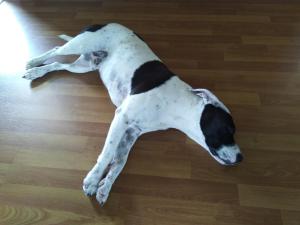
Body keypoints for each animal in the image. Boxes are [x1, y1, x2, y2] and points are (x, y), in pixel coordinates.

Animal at [23, 23, 244, 206]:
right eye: (229, 129)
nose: (241, 158)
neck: (178, 105)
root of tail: (106, 22)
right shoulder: (122, 117)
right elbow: (108, 154)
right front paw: (93, 179)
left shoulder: (131, 132)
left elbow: (120, 162)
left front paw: (105, 187)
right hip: (80, 45)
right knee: (55, 50)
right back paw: (33, 62)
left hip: (84, 66)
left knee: (58, 65)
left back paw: (36, 72)